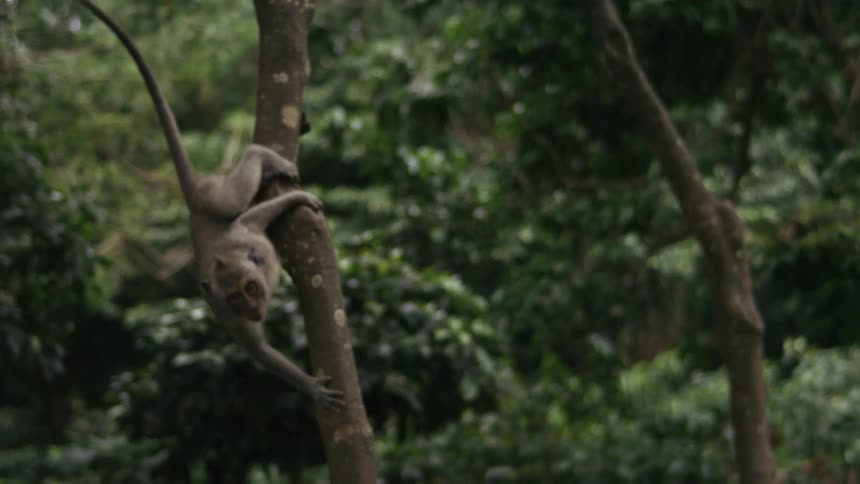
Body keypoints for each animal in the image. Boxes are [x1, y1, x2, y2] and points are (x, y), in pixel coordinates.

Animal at [80, 0, 345, 411]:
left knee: (234, 198)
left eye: (250, 288)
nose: (252, 308)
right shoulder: (224, 313)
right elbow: (256, 349)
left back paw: (260, 155)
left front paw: (300, 199)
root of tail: (193, 201)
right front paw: (310, 387)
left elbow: (252, 218)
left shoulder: (245, 236)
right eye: (236, 298)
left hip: (214, 195)